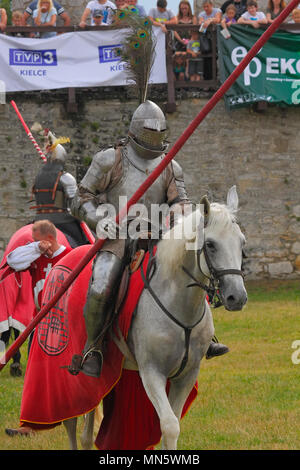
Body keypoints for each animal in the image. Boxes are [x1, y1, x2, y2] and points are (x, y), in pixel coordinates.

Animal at [63, 185, 246, 450]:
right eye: (210, 244)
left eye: (242, 242)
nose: (237, 297)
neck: (178, 303)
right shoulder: (152, 373)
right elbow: (169, 425)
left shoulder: (186, 375)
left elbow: (173, 424)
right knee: (73, 421)